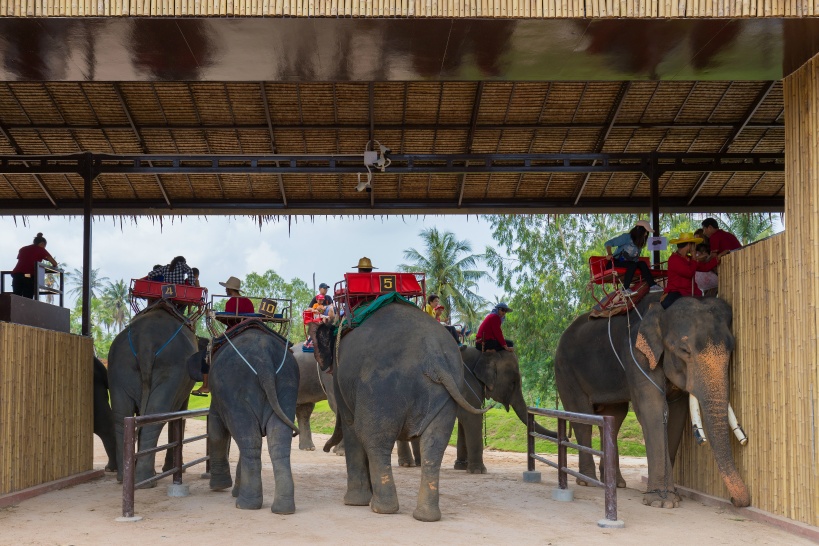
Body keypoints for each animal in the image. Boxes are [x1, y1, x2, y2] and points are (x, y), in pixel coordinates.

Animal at [109, 302, 207, 484]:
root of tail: (145, 341)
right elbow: (179, 415)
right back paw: (146, 479)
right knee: (156, 414)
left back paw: (126, 477)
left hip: (119, 365)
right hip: (171, 367)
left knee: (121, 415)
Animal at [207, 320, 302, 512]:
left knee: (250, 441)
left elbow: (216, 431)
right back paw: (283, 509)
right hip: (288, 386)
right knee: (278, 441)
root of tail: (264, 358)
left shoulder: (219, 398)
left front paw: (219, 487)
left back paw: (245, 504)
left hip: (235, 390)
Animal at [310, 300, 486, 520]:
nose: (325, 448)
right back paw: (425, 516)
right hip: (446, 392)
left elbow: (351, 426)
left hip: (380, 390)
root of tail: (433, 358)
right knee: (434, 444)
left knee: (375, 439)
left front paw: (354, 502)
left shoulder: (341, 381)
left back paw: (381, 508)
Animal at [398, 348, 556, 472]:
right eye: (513, 382)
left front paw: (461, 467)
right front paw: (478, 471)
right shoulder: (467, 385)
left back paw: (412, 464)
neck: (482, 353)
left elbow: (465, 419)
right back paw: (410, 464)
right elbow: (471, 418)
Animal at [556, 294, 748, 506]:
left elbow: (677, 415)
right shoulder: (636, 354)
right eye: (684, 350)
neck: (663, 307)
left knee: (614, 417)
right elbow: (652, 409)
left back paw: (616, 484)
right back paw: (587, 482)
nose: (735, 501)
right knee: (582, 416)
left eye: (731, 349)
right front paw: (661, 501)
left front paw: (672, 496)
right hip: (565, 370)